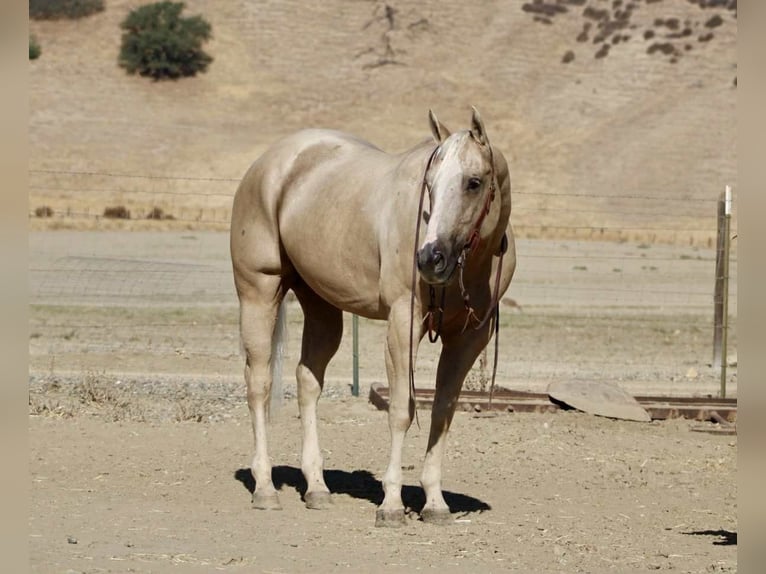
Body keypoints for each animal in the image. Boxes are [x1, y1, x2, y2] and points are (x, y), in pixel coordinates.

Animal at [230, 107, 516, 526]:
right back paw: (265, 487)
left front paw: (435, 503)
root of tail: (267, 163)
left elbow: (442, 411)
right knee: (260, 384)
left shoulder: (468, 339)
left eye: (473, 183)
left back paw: (316, 488)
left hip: (321, 306)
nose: (429, 258)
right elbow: (401, 409)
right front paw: (392, 505)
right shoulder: (402, 325)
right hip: (259, 292)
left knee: (307, 381)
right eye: (429, 184)